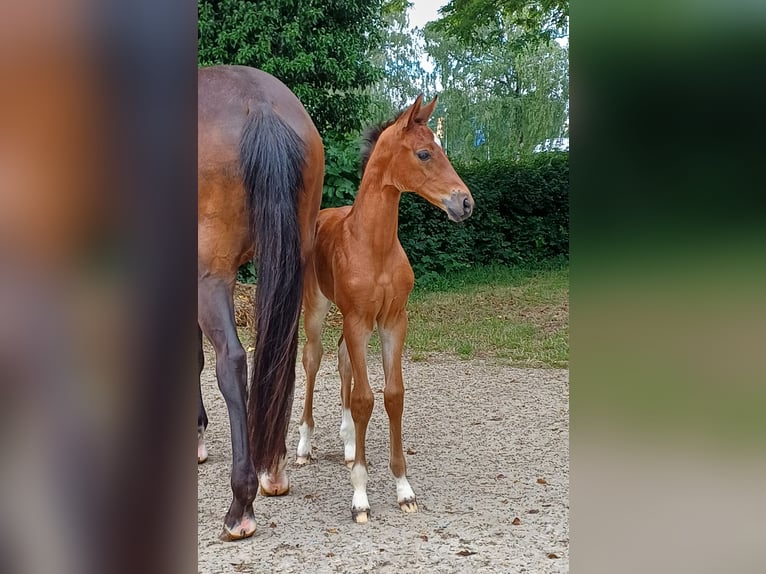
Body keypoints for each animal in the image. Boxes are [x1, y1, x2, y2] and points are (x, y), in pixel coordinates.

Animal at [298, 95, 474, 528]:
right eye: (424, 153)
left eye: (442, 148)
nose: (465, 203)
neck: (373, 245)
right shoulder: (359, 321)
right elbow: (365, 399)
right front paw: (360, 498)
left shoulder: (394, 321)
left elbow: (393, 395)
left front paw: (403, 489)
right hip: (317, 308)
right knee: (313, 358)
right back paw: (304, 444)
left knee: (342, 359)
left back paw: (348, 444)